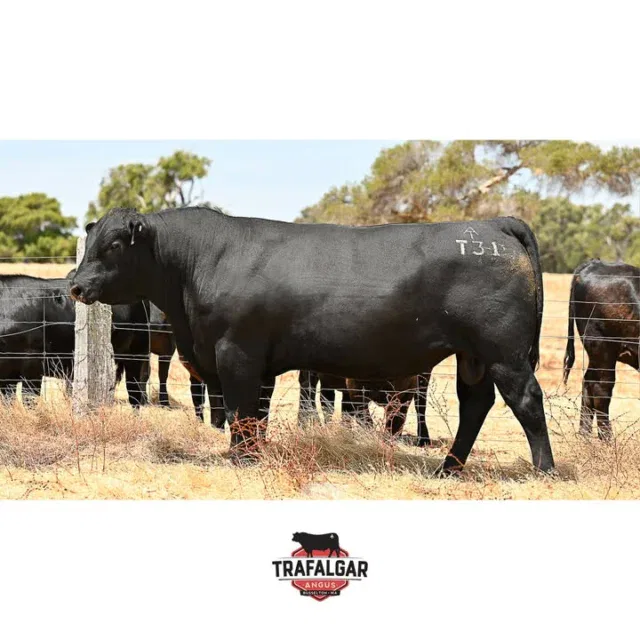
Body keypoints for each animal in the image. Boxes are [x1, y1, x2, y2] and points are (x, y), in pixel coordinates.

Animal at [298, 370, 431, 444]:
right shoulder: (356, 390)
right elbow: (367, 422)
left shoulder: (406, 392)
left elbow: (395, 423)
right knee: (308, 391)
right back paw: (305, 424)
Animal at [563, 259, 640, 441]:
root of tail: (595, 263)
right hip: (602, 347)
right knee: (601, 389)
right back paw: (607, 440)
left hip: (597, 354)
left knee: (588, 383)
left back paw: (585, 437)